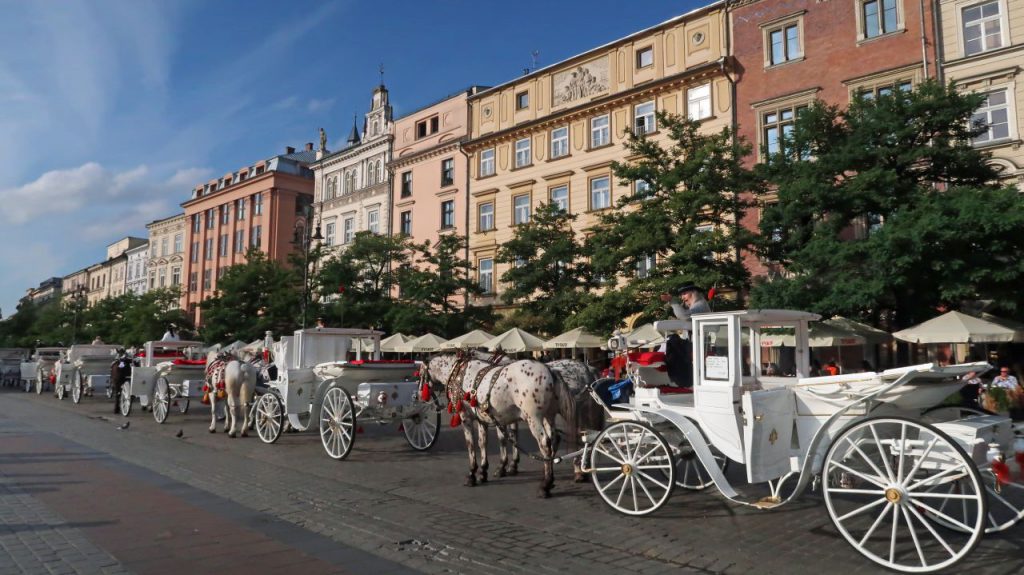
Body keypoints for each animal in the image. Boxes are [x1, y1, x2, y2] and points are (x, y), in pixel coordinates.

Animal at [417, 351, 577, 495]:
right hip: (549, 416)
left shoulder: (465, 417)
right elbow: (483, 443)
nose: (419, 394)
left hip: (534, 417)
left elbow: (471, 445)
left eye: (420, 374)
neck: (459, 375)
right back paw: (549, 477)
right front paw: (483, 472)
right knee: (553, 439)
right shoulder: (482, 419)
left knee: (544, 444)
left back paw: (545, 485)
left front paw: (472, 475)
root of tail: (550, 371)